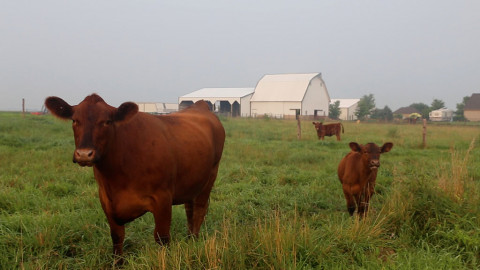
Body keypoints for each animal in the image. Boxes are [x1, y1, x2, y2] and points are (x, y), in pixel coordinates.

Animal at [45, 94, 225, 260]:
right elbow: (117, 237)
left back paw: (194, 240)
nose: (84, 154)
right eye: (75, 120)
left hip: (210, 176)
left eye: (107, 121)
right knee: (189, 209)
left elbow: (162, 237)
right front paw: (117, 264)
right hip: (191, 181)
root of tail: (200, 105)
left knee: (199, 210)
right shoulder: (106, 200)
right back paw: (189, 238)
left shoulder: (163, 198)